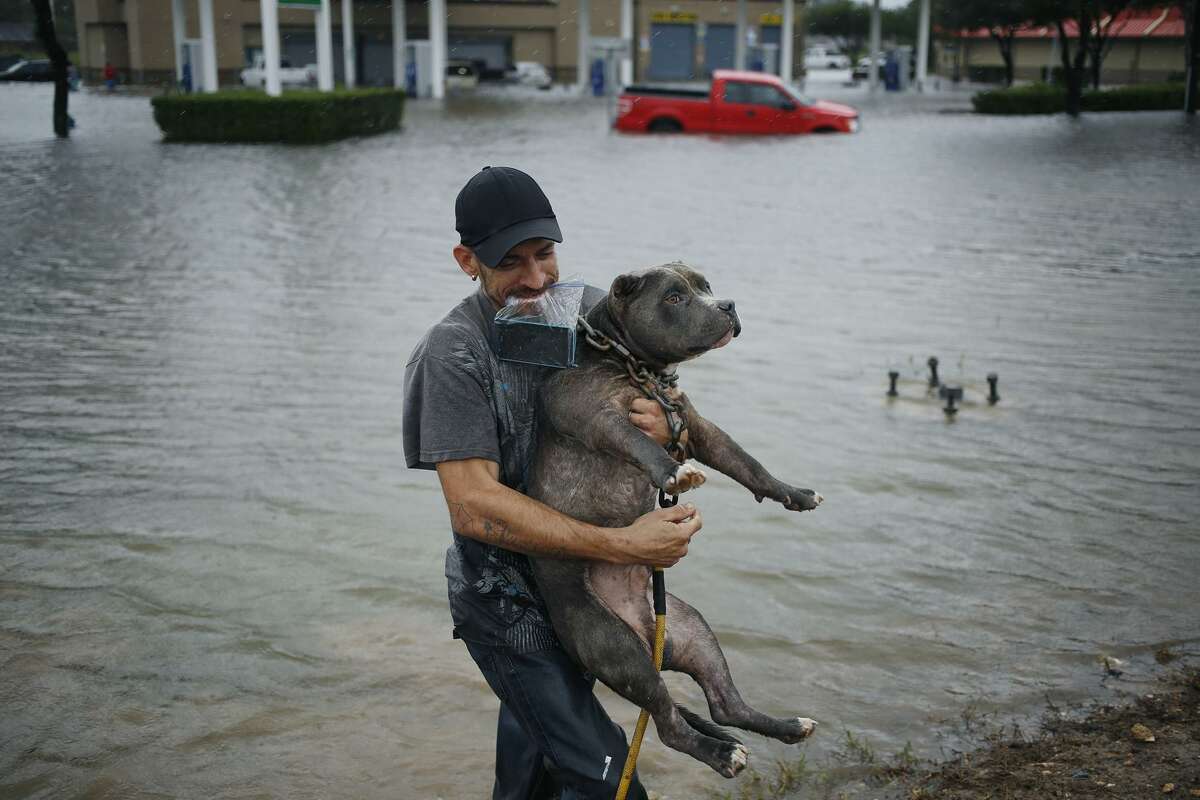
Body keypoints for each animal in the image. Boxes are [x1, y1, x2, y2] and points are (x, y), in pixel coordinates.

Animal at [528, 263, 820, 782]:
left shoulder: (694, 423)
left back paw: (786, 727)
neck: (635, 368)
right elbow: (638, 442)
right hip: (615, 647)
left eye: (706, 286)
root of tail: (646, 631)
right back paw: (722, 754)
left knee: (724, 705)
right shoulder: (601, 418)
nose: (727, 304)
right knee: (668, 726)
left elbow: (748, 463)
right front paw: (673, 472)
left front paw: (796, 494)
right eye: (675, 296)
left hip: (692, 632)